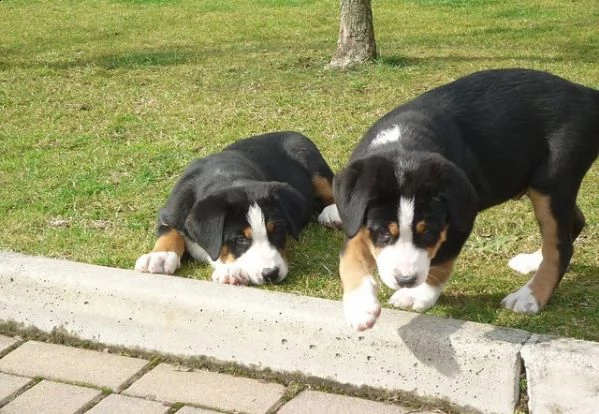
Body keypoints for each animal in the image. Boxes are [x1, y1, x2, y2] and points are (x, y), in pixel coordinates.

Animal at [137, 132, 342, 284]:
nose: (271, 273)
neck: (228, 176)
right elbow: (169, 232)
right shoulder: (171, 212)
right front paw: (160, 256)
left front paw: (231, 270)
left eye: (277, 231)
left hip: (308, 156)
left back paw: (333, 213)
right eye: (240, 239)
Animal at [332, 69, 599, 332]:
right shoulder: (354, 214)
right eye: (384, 233)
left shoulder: (460, 218)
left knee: (560, 246)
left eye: (429, 233)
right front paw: (360, 306)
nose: (405, 280)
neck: (404, 146)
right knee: (573, 223)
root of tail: (586, 95)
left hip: (552, 183)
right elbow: (349, 256)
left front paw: (418, 295)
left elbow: (441, 260)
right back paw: (532, 261)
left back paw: (530, 295)